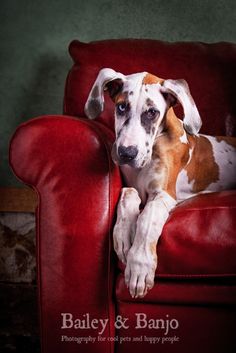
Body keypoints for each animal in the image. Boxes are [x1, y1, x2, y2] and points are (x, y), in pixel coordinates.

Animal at [85, 68, 236, 296]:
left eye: (152, 112)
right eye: (121, 107)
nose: (127, 153)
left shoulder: (164, 193)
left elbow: (148, 217)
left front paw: (139, 264)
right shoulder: (130, 185)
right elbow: (128, 193)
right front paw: (124, 234)